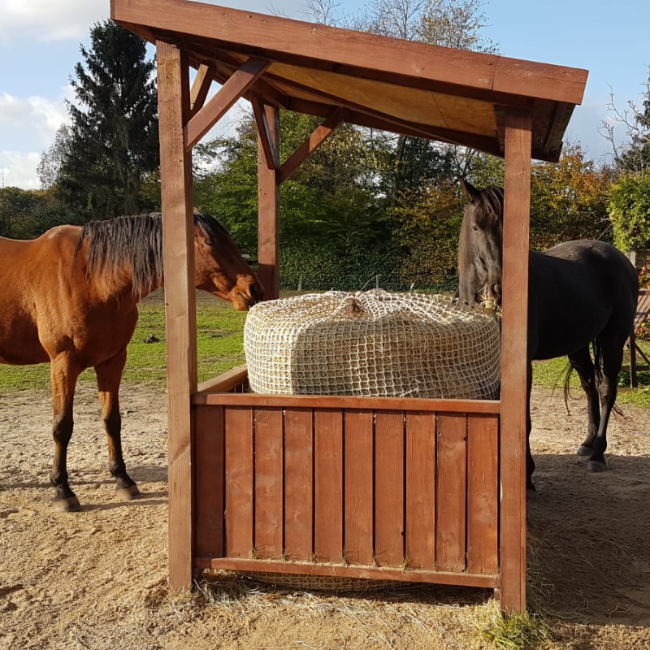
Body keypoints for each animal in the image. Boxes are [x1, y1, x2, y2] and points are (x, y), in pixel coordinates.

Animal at [1, 210, 264, 508]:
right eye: (209, 242)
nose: (254, 289)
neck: (89, 279)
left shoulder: (112, 361)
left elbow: (112, 420)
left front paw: (123, 480)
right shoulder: (63, 363)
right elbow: (62, 426)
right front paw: (62, 490)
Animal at [456, 180, 636, 488]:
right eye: (477, 227)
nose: (499, 288)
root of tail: (620, 258)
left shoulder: (522, 365)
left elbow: (524, 420)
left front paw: (526, 475)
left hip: (613, 339)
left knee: (606, 390)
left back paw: (597, 455)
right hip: (578, 345)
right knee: (589, 386)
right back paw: (587, 443)